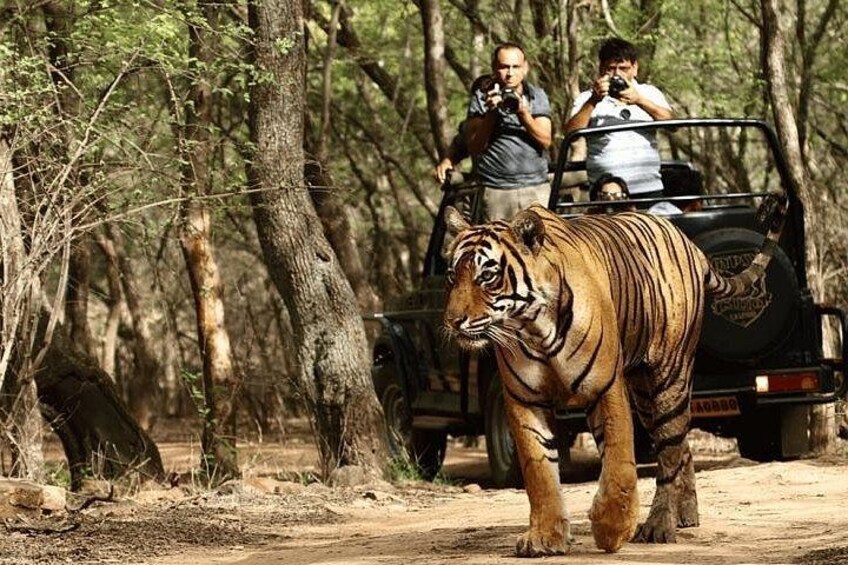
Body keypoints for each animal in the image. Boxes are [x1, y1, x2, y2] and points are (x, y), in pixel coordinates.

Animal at [443, 194, 787, 556]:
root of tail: (689, 243)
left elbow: (619, 462)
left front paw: (612, 529)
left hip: (668, 378)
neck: (533, 327)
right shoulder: (524, 399)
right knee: (680, 446)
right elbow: (539, 471)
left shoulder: (605, 388)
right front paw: (544, 536)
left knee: (669, 452)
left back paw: (659, 526)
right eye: (452, 275)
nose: (453, 321)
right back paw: (686, 515)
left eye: (487, 276)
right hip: (645, 394)